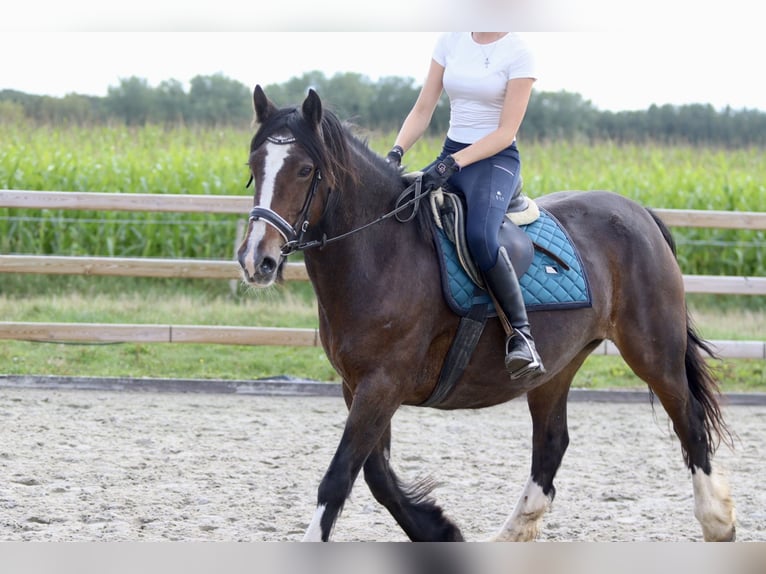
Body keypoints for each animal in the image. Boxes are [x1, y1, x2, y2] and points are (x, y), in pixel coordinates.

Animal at [236, 85, 736, 544]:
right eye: (253, 167)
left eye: (305, 169)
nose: (256, 260)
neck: (380, 253)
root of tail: (639, 213)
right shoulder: (357, 385)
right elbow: (376, 475)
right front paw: (437, 529)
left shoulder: (382, 384)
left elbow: (340, 477)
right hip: (555, 368)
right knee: (551, 444)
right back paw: (510, 535)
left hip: (653, 351)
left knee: (689, 421)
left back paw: (718, 523)